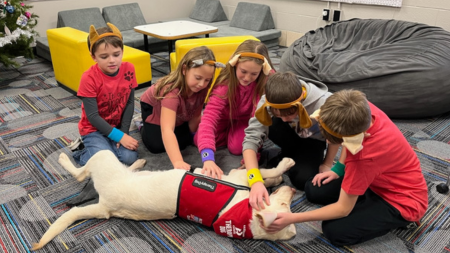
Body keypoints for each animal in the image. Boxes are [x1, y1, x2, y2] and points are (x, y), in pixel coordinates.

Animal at [32, 149, 298, 250]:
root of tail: (106, 206)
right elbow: (265, 175)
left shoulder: (237, 176)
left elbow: (265, 174)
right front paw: (278, 175)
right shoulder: (236, 176)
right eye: (286, 206)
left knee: (80, 174)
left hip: (104, 159)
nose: (293, 191)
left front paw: (281, 170)